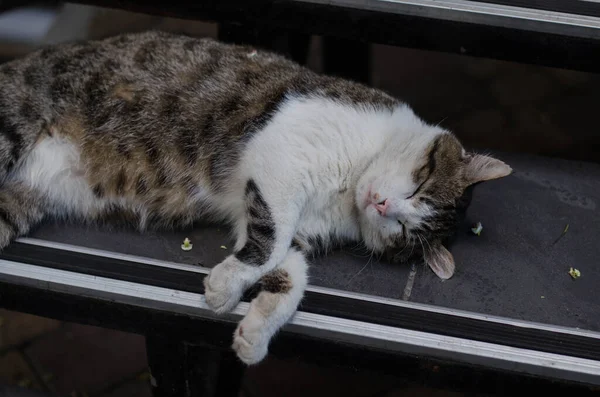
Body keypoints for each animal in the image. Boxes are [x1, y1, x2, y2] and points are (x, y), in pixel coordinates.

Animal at [0, 31, 510, 364]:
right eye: (420, 181)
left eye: (404, 231)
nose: (384, 206)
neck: (349, 189)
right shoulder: (280, 158)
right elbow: (271, 240)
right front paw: (227, 284)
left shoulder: (289, 225)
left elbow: (289, 268)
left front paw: (256, 330)